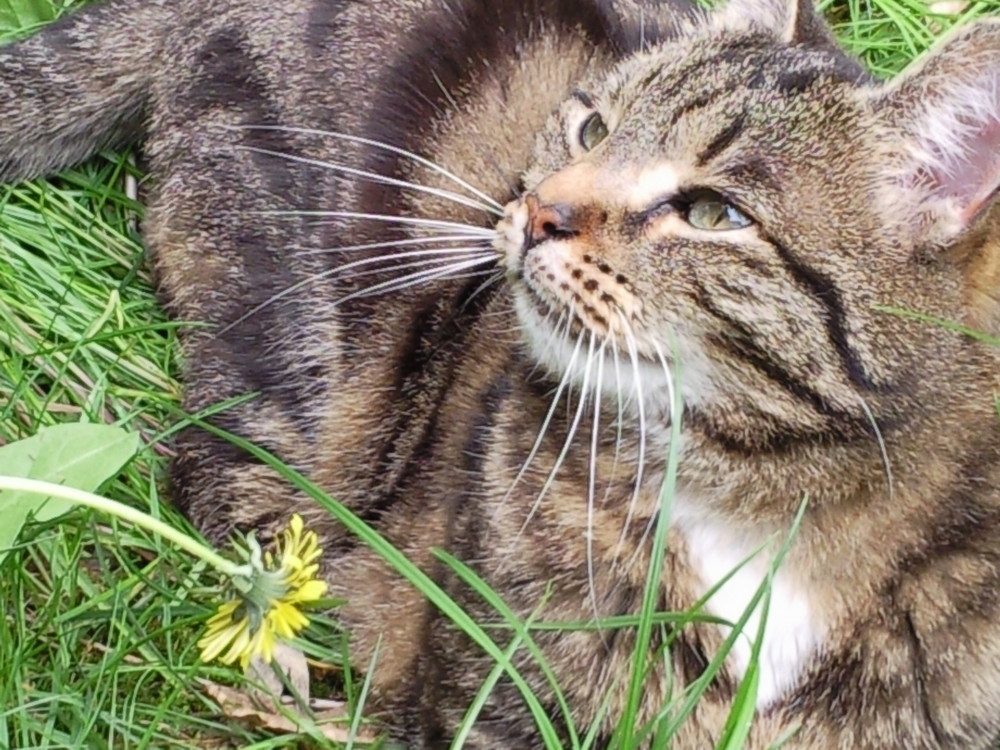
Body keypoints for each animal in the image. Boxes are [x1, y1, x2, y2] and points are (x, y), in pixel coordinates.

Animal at [1, 0, 1000, 748]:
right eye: (592, 126)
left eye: (715, 213)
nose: (537, 209)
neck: (766, 502)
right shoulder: (491, 704)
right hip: (315, 391)